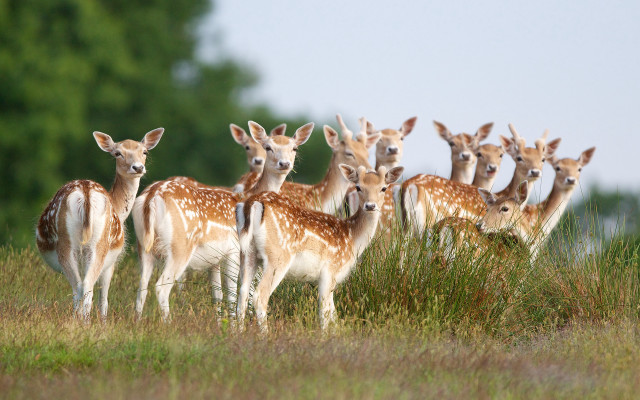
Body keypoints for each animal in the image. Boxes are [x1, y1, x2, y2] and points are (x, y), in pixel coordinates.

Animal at [36, 128, 164, 320]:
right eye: (118, 153)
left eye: (144, 152)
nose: (138, 167)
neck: (119, 209)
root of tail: (85, 195)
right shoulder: (111, 263)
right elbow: (104, 299)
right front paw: (104, 321)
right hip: (97, 245)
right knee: (84, 287)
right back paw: (84, 321)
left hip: (72, 245)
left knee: (80, 287)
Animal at [132, 121, 313, 320]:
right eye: (268, 147)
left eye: (294, 148)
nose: (284, 164)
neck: (247, 195)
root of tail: (151, 197)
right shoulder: (234, 250)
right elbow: (233, 295)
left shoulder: (214, 261)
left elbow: (217, 296)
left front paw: (221, 323)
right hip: (180, 246)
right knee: (161, 288)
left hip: (144, 247)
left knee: (141, 288)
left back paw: (138, 323)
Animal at [235, 164, 404, 332]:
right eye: (358, 187)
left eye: (383, 188)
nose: (370, 205)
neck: (352, 238)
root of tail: (252, 203)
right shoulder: (330, 270)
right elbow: (325, 312)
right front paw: (325, 335)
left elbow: (333, 314)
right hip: (278, 256)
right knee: (260, 295)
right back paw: (265, 334)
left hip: (247, 252)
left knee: (242, 294)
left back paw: (239, 332)